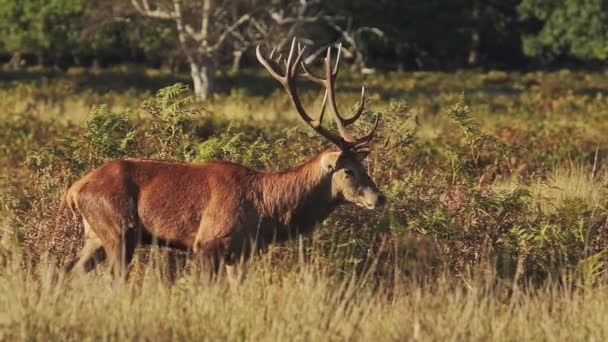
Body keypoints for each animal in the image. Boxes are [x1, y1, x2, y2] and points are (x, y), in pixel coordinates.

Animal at [63, 39, 384, 280]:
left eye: (364, 165)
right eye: (348, 170)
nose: (380, 197)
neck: (267, 209)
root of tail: (73, 190)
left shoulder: (240, 252)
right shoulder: (207, 243)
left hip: (95, 234)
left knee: (69, 271)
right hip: (119, 229)